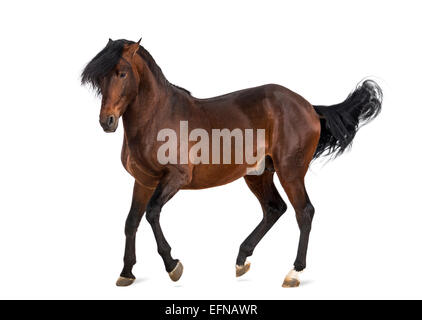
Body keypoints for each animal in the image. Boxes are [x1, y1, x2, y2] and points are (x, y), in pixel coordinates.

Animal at [81, 37, 382, 288]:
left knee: (304, 212)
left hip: (290, 172)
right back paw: (241, 260)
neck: (158, 116)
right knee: (274, 209)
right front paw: (126, 273)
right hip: (258, 174)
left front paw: (173, 265)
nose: (107, 121)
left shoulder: (174, 178)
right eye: (99, 78)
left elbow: (152, 213)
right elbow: (131, 221)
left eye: (122, 72)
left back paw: (294, 273)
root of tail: (308, 107)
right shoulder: (143, 181)